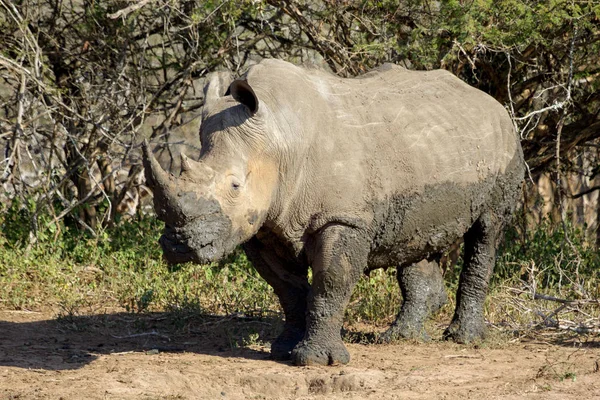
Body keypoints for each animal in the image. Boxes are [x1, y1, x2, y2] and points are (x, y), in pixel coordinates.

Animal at [143, 58, 524, 366]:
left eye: (235, 186)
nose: (180, 245)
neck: (277, 139)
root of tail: (490, 100)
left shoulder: (343, 218)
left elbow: (331, 282)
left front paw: (317, 361)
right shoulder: (263, 226)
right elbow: (288, 289)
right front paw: (282, 350)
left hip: (504, 143)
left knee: (487, 231)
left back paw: (464, 339)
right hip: (431, 150)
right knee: (416, 235)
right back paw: (401, 337)